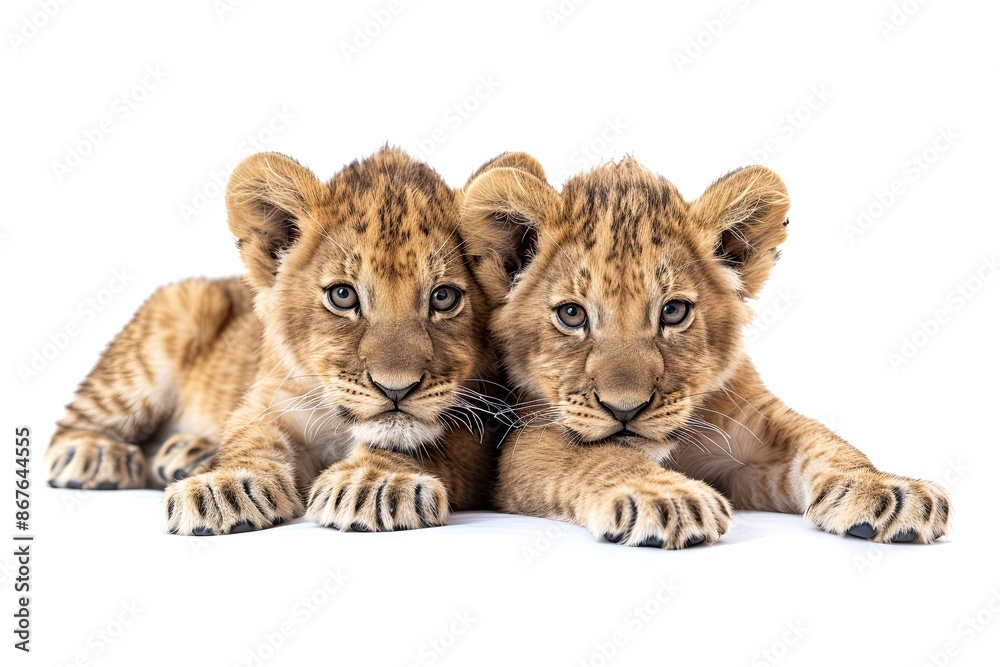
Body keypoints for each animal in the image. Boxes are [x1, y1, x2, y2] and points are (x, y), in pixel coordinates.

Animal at [44, 148, 522, 535]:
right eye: (343, 296)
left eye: (443, 297)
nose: (396, 389)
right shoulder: (270, 397)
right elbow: (250, 438)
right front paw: (223, 488)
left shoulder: (482, 425)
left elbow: (430, 445)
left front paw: (373, 482)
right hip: (173, 316)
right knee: (74, 425)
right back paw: (92, 454)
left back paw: (185, 452)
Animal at [462, 156, 952, 548]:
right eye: (571, 314)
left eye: (673, 311)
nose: (626, 409)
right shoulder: (527, 440)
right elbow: (599, 455)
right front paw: (666, 497)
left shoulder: (755, 432)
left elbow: (824, 440)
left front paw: (887, 490)